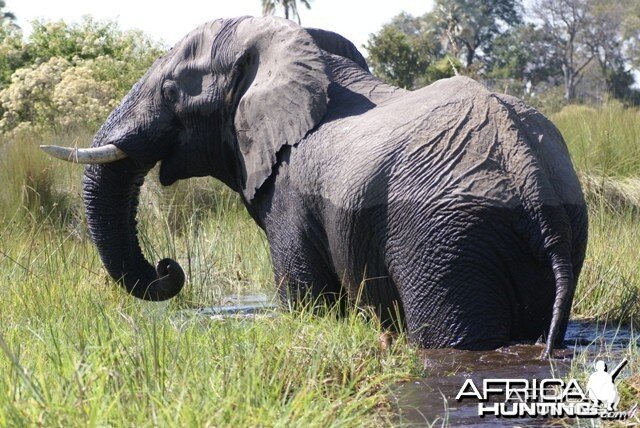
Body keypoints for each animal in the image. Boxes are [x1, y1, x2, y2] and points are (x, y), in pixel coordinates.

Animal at [40, 15, 588, 358]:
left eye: (172, 90)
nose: (168, 267)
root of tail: (526, 167)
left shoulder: (290, 192)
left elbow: (307, 301)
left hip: (446, 239)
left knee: (454, 336)